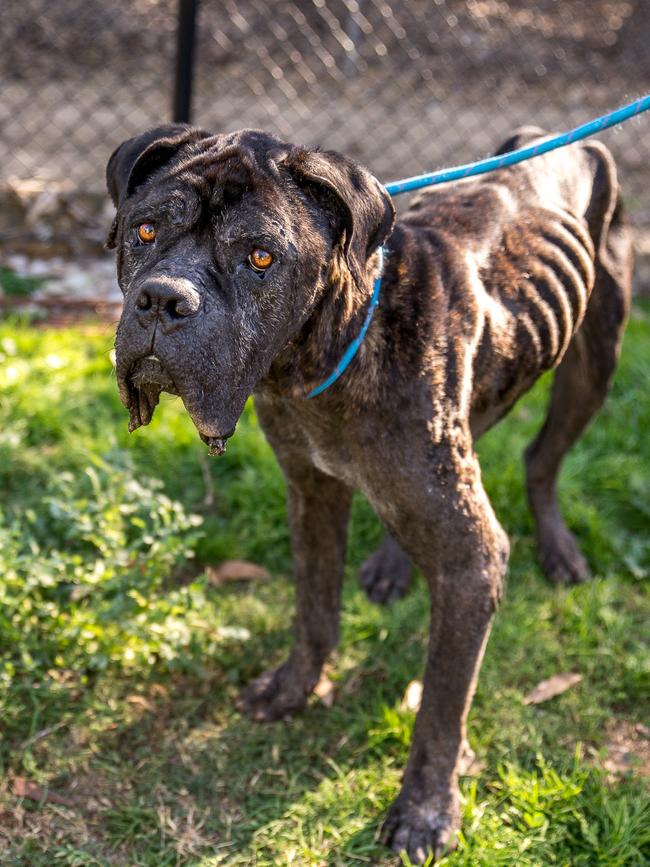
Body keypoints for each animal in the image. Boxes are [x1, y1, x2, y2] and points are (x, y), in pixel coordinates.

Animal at [105, 125, 628, 864]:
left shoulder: (471, 561)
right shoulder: (312, 491)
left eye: (260, 257)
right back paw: (391, 563)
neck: (328, 350)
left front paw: (425, 811)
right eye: (144, 229)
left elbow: (442, 704)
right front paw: (295, 689)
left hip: (595, 357)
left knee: (540, 460)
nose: (162, 300)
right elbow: (315, 610)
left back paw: (557, 548)